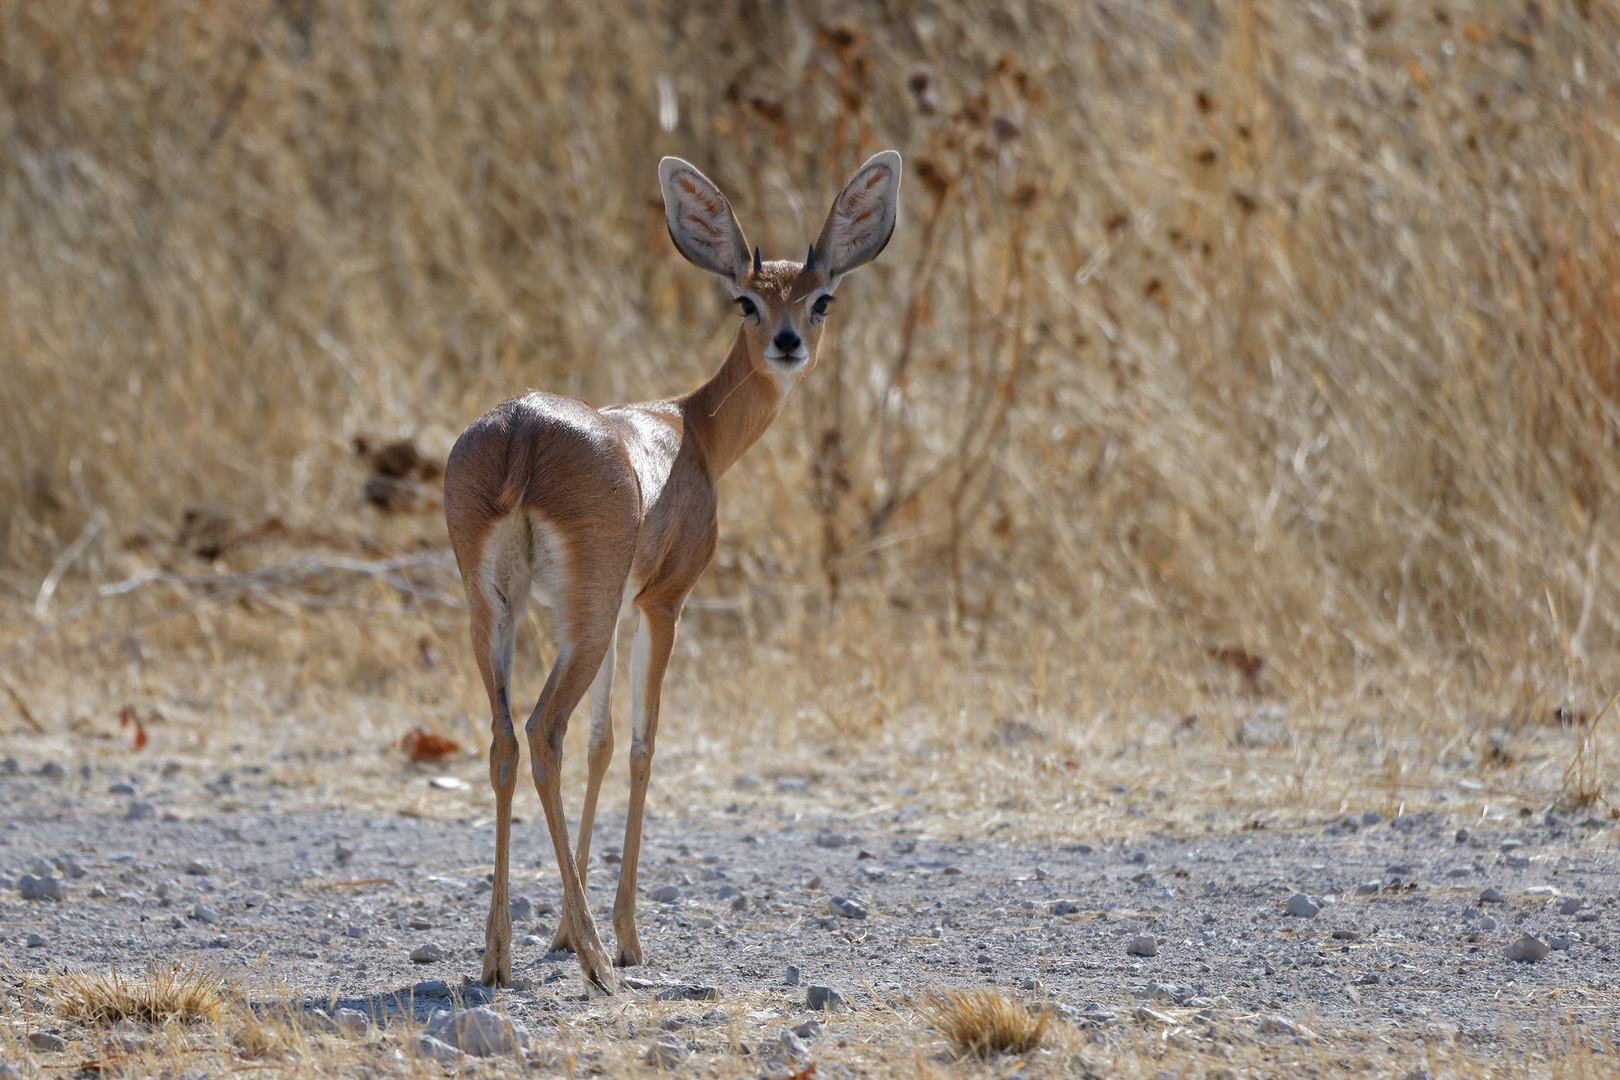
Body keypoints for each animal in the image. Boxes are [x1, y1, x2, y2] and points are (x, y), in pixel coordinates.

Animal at [440, 152, 900, 997]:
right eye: (746, 299)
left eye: (820, 295)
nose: (788, 342)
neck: (692, 428)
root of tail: (521, 429)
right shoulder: (662, 604)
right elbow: (643, 744)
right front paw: (623, 936)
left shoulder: (618, 610)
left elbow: (602, 741)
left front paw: (561, 930)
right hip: (579, 619)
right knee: (543, 730)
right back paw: (598, 960)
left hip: (498, 610)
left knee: (505, 739)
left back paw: (498, 956)